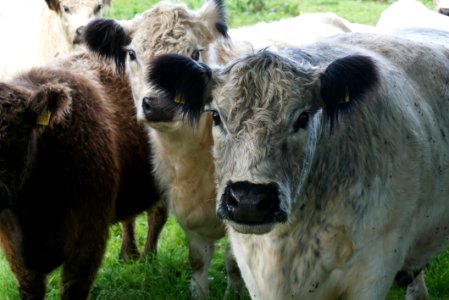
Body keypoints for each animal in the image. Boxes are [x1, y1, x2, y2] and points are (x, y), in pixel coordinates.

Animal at [0, 50, 163, 298]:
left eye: (17, 134)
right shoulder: (13, 246)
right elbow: (30, 287)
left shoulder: (89, 235)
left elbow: (73, 288)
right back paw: (129, 255)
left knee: (157, 215)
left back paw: (147, 259)